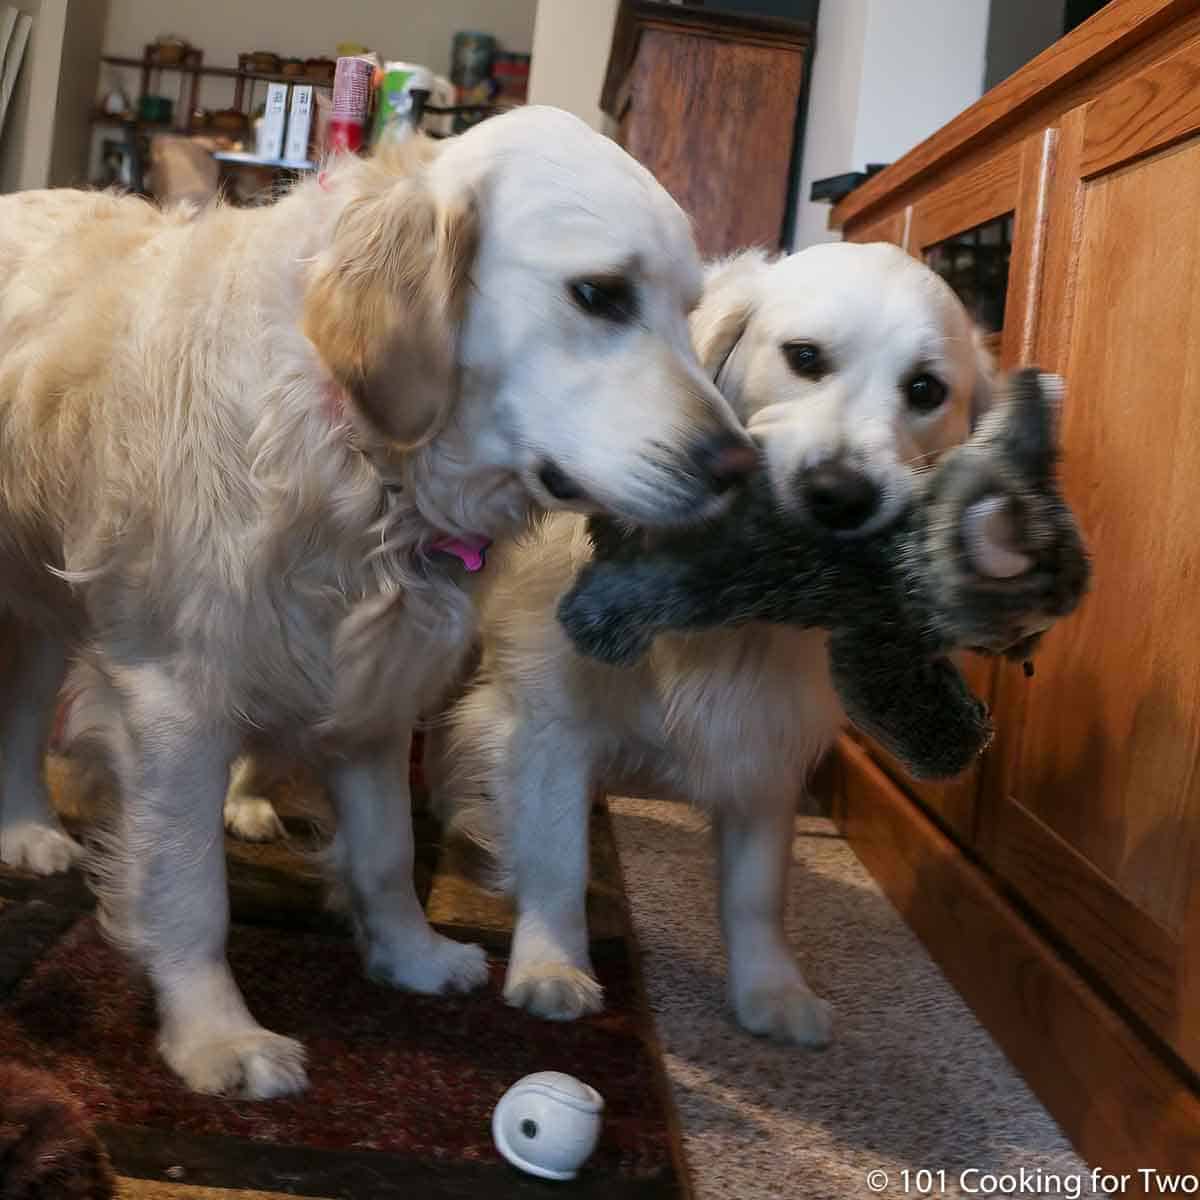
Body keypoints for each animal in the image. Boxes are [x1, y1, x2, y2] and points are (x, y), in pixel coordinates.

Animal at [0, 105, 748, 1099]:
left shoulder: (376, 698)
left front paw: (412, 956)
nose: (741, 467)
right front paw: (215, 1035)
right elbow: (190, 888)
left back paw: (27, 828)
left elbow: (389, 852)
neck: (364, 461)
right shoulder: (172, 699)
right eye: (600, 295)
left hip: (44, 603)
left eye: (688, 311)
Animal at [441, 241, 993, 1041]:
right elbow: (556, 859)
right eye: (804, 357)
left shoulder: (765, 747)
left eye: (925, 390)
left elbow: (758, 892)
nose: (840, 494)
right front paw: (552, 964)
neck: (726, 620)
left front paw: (772, 988)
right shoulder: (547, 727)